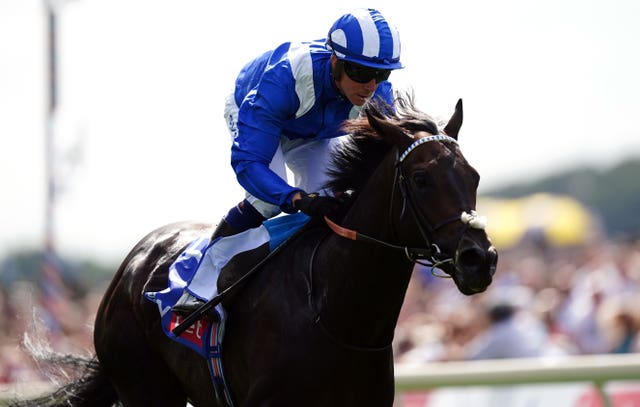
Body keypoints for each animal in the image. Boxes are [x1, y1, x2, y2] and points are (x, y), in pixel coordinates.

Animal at [12, 96, 498, 407]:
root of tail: (133, 262)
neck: (335, 312)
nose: (480, 259)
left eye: (473, 176)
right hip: (143, 385)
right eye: (420, 178)